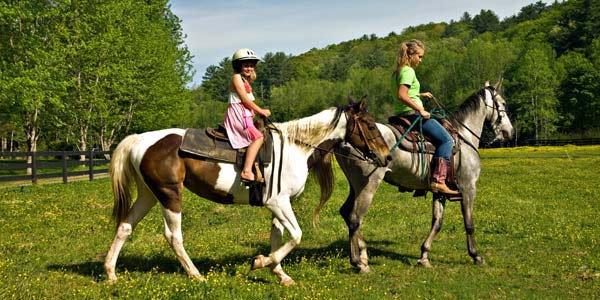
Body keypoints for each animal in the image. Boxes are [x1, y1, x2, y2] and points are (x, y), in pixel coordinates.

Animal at [105, 99, 392, 286]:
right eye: (369, 125)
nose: (387, 157)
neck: (295, 148)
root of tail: (140, 140)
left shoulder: (278, 205)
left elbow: (278, 237)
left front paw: (280, 274)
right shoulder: (278, 202)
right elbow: (296, 236)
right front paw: (261, 262)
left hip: (148, 194)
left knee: (125, 227)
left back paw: (110, 273)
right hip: (169, 194)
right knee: (173, 236)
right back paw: (195, 274)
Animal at [314, 81, 516, 274]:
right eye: (503, 103)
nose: (510, 132)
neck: (463, 138)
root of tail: (343, 139)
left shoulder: (439, 191)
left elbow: (437, 222)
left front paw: (424, 256)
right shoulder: (468, 188)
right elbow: (469, 223)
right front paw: (476, 256)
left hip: (355, 186)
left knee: (346, 213)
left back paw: (363, 253)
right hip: (368, 186)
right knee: (355, 218)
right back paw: (359, 262)